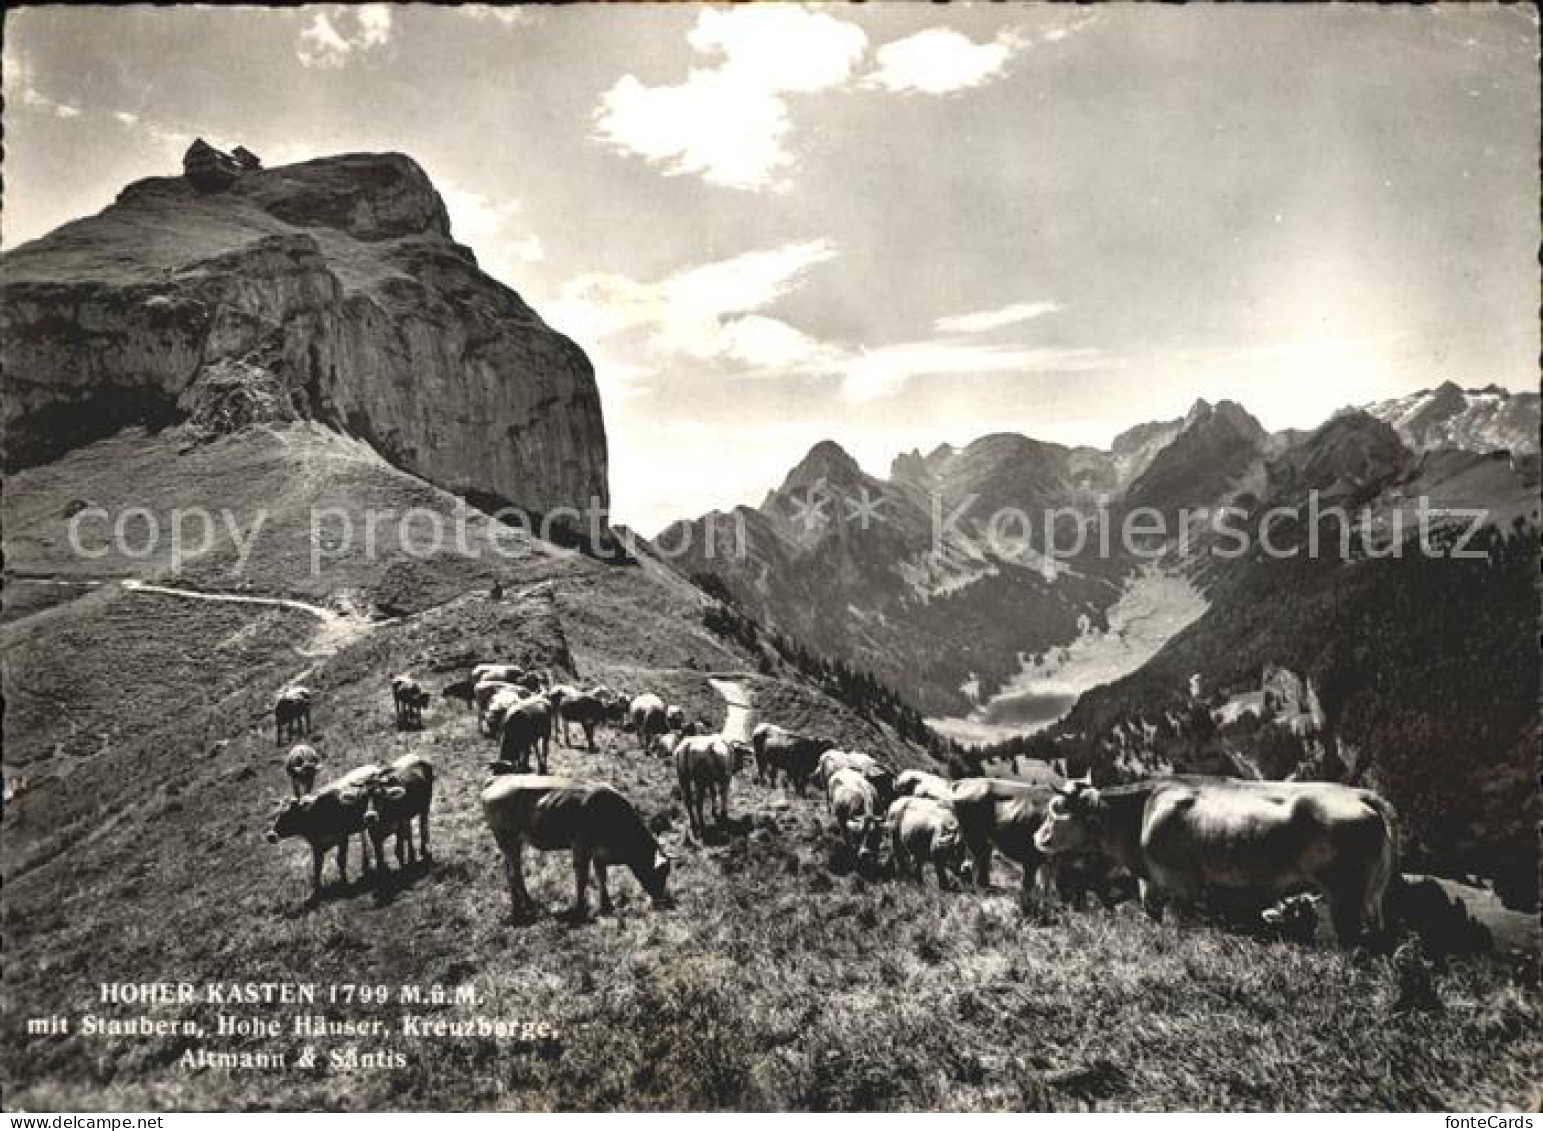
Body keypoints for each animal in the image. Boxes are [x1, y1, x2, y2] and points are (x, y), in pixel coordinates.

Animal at [262, 759, 376, 901]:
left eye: (288, 815)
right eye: (277, 814)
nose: (270, 835)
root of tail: (372, 766)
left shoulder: (342, 836)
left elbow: (340, 860)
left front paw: (345, 884)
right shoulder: (316, 846)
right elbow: (317, 867)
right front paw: (316, 892)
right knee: (363, 833)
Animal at [481, 771, 675, 919]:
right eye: (659, 874)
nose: (661, 901)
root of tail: (497, 779)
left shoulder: (599, 854)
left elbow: (601, 877)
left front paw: (607, 906)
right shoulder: (581, 847)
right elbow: (582, 878)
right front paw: (581, 909)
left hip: (510, 844)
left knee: (509, 872)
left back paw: (517, 909)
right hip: (508, 840)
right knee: (515, 875)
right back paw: (530, 905)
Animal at [950, 771, 1061, 907]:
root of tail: (964, 781)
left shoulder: (1049, 863)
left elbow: (1045, 889)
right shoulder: (1031, 859)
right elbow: (1029, 888)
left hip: (982, 844)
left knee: (973, 868)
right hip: (975, 839)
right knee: (978, 872)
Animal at [1030, 777, 1407, 944]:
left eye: (1057, 809)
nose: (1037, 837)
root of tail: (1360, 794)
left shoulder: (1182, 887)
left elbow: (1183, 926)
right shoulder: (1152, 882)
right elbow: (1152, 913)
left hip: (1344, 894)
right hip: (1371, 898)